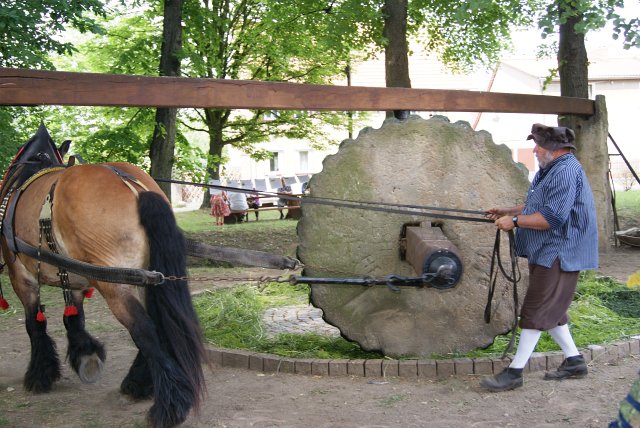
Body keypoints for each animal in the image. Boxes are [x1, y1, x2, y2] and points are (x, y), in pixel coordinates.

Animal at [0, 125, 205, 426]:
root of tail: (132, 186)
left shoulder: (21, 276)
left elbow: (34, 324)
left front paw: (40, 375)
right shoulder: (72, 274)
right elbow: (74, 318)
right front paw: (85, 353)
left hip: (114, 283)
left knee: (145, 329)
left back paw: (169, 404)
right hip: (146, 278)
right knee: (156, 323)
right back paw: (140, 383)